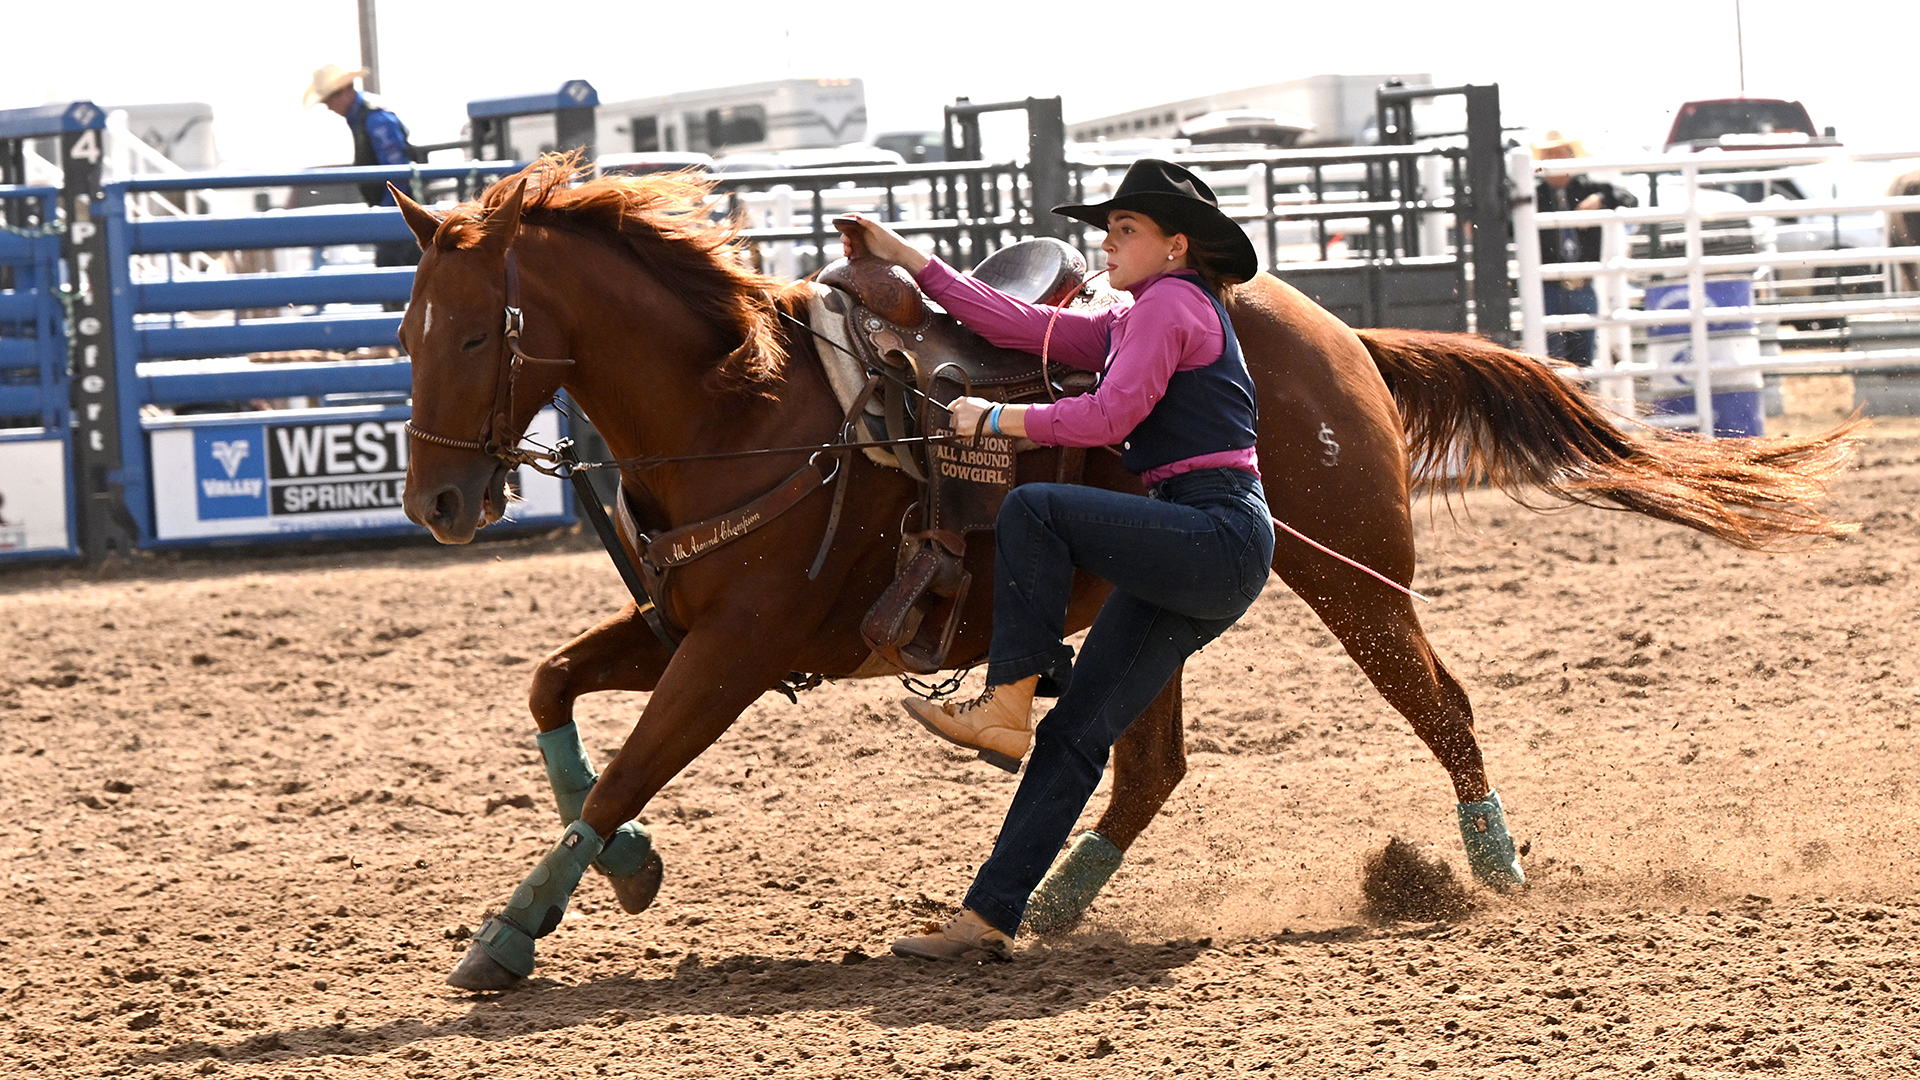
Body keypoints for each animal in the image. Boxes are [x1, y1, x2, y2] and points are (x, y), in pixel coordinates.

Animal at [390, 157, 1859, 990]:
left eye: (469, 334)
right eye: (403, 333)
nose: (440, 505)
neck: (747, 406)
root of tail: (1344, 336)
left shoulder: (736, 652)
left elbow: (628, 766)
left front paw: (510, 934)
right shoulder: (680, 623)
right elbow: (550, 691)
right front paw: (626, 866)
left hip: (1357, 580)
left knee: (1438, 704)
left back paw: (1491, 868)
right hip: (1158, 612)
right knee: (1147, 762)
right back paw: (1049, 900)